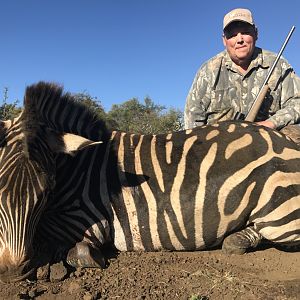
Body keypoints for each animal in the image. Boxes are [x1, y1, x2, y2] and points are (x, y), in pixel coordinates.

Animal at [0, 80, 298, 282]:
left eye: (46, 192)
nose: (12, 270)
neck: (78, 167)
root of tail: (285, 140)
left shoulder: (83, 220)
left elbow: (69, 248)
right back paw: (236, 238)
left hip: (278, 216)